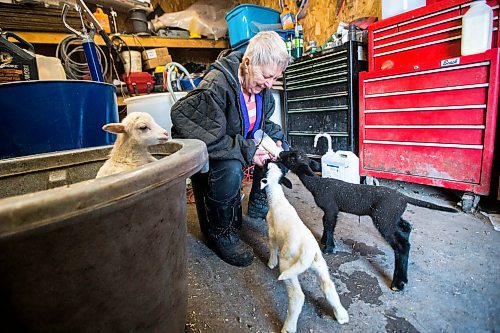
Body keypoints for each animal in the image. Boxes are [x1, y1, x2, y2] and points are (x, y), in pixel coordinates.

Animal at [260, 162, 350, 330]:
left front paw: (271, 263)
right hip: (320, 264)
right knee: (328, 287)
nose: (268, 161)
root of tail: (308, 252)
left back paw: (288, 327)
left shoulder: (272, 233)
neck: (277, 198)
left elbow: (273, 247)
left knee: (297, 296)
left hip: (288, 265)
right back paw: (341, 315)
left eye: (265, 168)